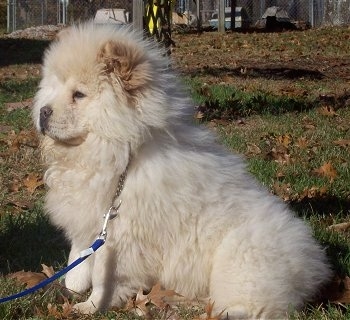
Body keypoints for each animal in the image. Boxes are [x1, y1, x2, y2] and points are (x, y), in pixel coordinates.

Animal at [32, 23, 330, 318]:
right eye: (53, 89)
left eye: (78, 95)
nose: (43, 112)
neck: (122, 154)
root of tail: (314, 265)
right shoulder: (89, 221)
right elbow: (78, 258)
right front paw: (71, 286)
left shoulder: (123, 237)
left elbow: (104, 277)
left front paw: (91, 306)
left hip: (240, 260)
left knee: (248, 307)